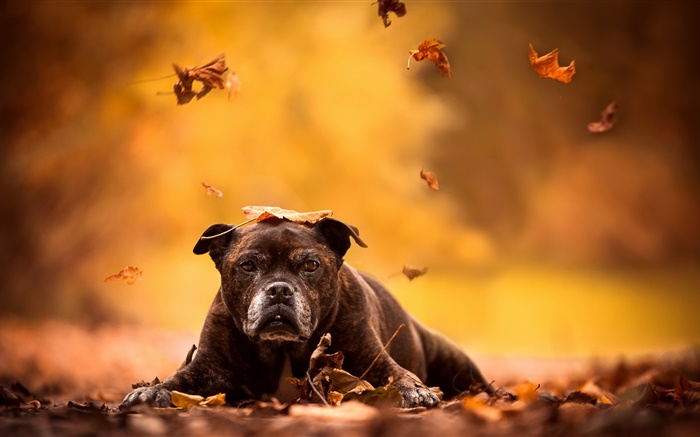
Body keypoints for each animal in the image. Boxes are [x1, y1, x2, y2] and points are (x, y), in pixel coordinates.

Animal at [121, 216, 486, 408]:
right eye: (247, 265)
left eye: (311, 265)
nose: (279, 290)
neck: (281, 347)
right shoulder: (209, 367)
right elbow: (177, 379)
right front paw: (150, 391)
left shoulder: (372, 358)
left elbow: (397, 375)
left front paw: (416, 390)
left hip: (456, 360)